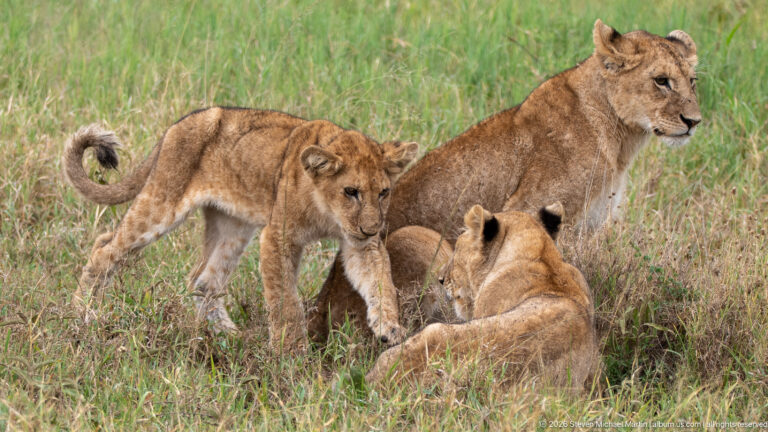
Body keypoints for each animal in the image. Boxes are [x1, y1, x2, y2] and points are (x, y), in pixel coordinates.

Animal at [62, 107, 418, 352]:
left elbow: (381, 280)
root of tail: (175, 126)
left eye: (383, 192)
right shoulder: (277, 236)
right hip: (162, 203)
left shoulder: (359, 244)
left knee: (204, 281)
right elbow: (284, 300)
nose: (373, 228)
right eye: (350, 191)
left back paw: (230, 338)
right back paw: (82, 314)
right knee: (105, 247)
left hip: (232, 225)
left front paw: (390, 327)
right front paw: (292, 354)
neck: (327, 212)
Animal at [308, 19, 701, 341]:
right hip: (418, 240)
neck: (622, 136)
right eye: (661, 81)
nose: (694, 121)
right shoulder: (532, 206)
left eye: (692, 81)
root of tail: (318, 319)